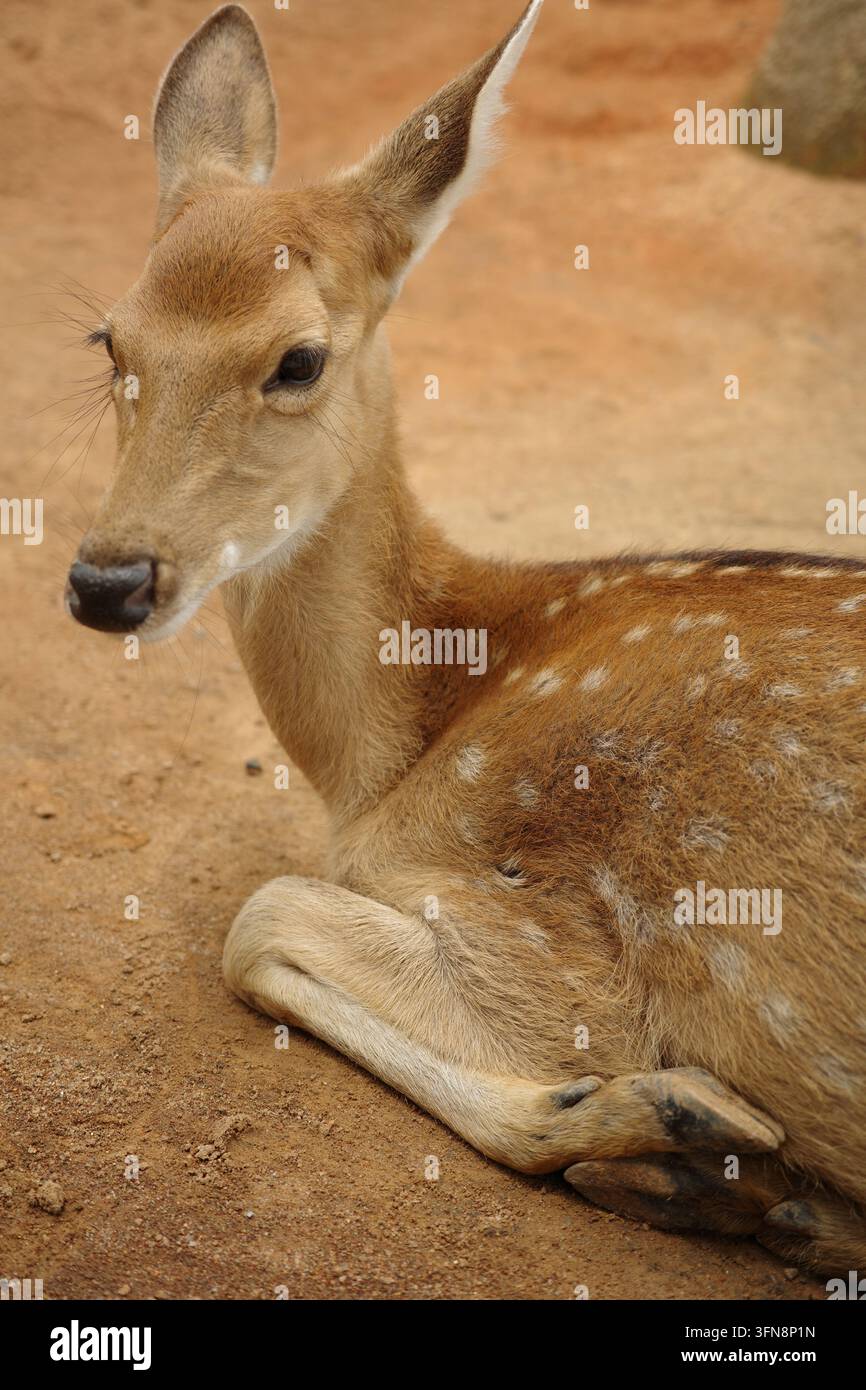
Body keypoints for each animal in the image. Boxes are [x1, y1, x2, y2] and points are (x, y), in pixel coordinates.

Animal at [65, 1, 866, 1277]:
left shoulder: (553, 941)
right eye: (109, 340)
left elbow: (257, 916)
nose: (108, 579)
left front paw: (673, 1117)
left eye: (297, 357)